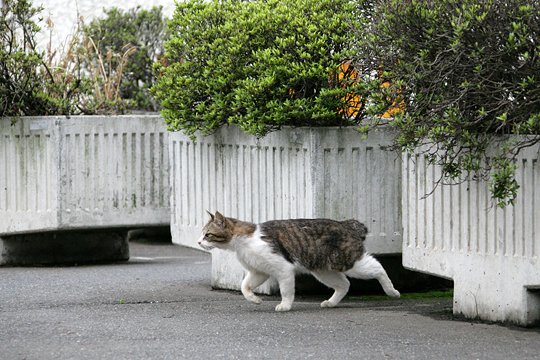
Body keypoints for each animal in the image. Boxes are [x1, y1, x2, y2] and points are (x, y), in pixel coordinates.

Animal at [198, 211, 400, 312]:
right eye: (202, 234)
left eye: (208, 235)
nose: (198, 242)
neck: (242, 243)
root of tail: (346, 224)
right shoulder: (259, 271)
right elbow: (244, 287)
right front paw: (255, 299)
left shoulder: (283, 270)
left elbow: (286, 291)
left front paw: (285, 306)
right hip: (324, 270)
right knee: (344, 284)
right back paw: (331, 303)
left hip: (348, 262)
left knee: (377, 267)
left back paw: (392, 291)